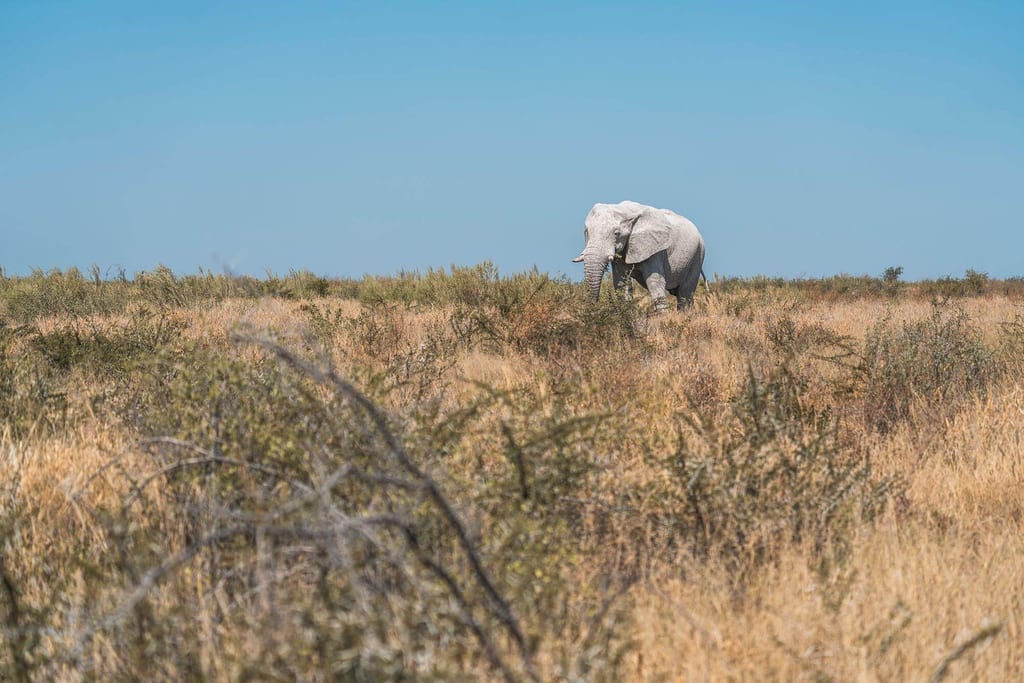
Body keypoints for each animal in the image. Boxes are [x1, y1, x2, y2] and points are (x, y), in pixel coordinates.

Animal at [572, 200, 708, 311]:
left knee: (685, 294)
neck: (624, 211)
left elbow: (654, 281)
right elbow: (621, 281)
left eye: (617, 233)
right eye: (586, 231)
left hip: (697, 255)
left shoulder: (655, 248)